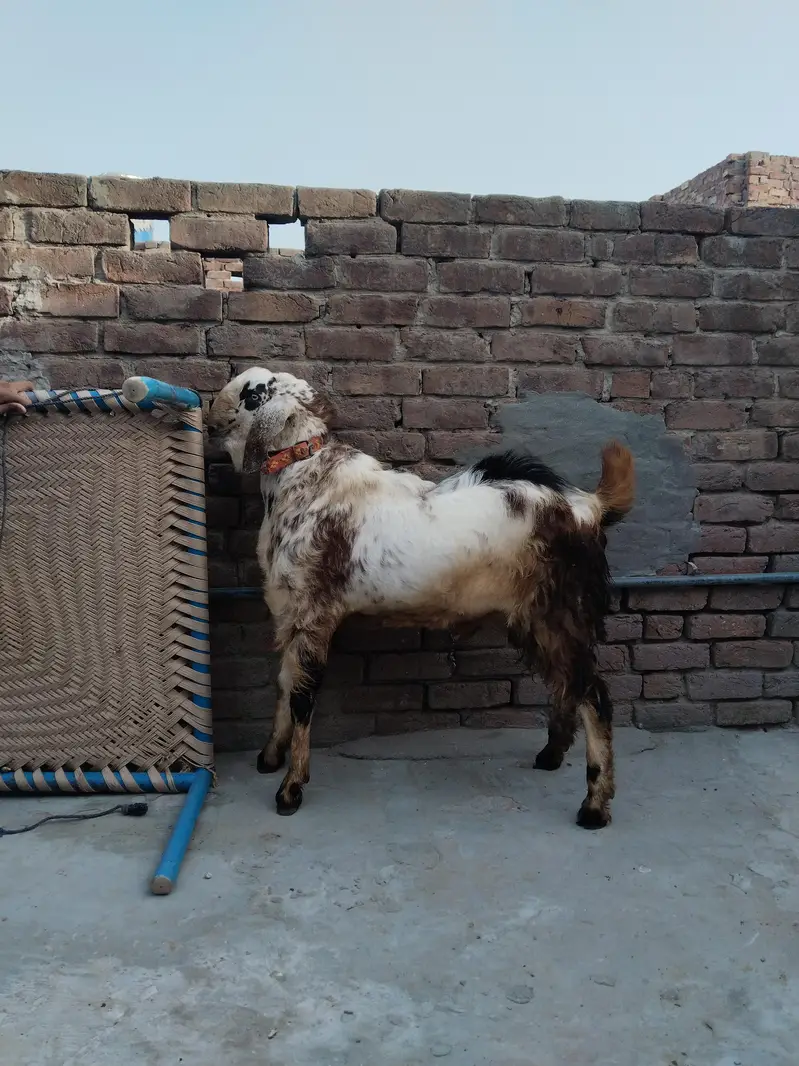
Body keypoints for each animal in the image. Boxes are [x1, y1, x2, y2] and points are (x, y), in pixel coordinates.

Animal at [207, 367, 635, 828]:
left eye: (251, 394)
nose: (210, 416)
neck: (306, 479)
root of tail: (589, 507)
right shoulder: (288, 611)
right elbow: (285, 686)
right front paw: (270, 756)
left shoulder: (313, 612)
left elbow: (303, 696)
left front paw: (290, 789)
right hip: (535, 617)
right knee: (565, 685)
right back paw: (551, 756)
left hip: (565, 610)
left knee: (594, 695)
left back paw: (594, 806)